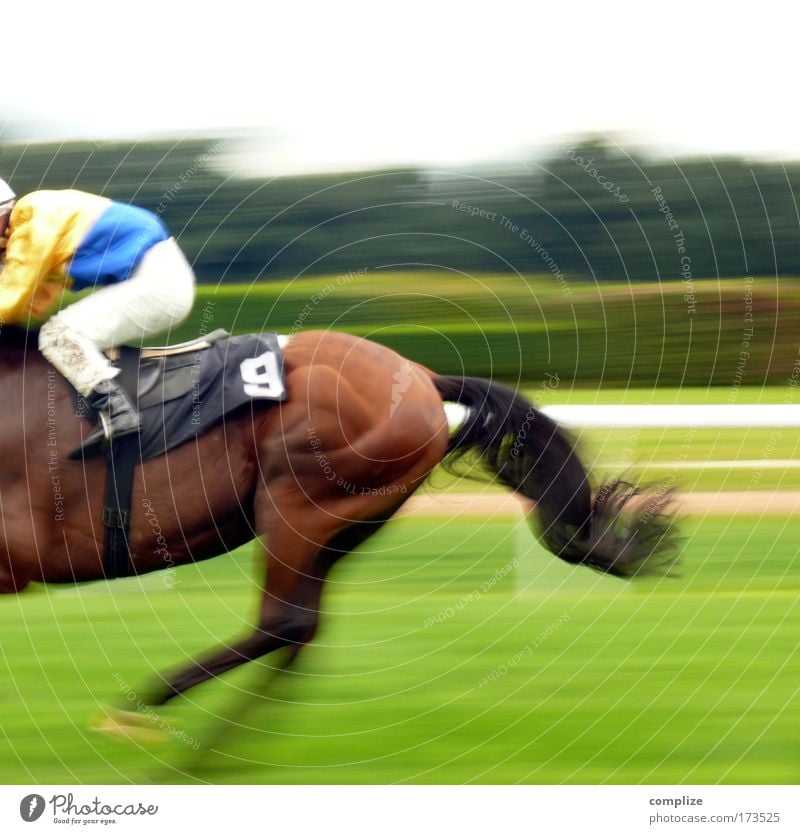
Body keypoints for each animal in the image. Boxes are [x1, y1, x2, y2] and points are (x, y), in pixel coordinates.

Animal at [0, 324, 676, 720]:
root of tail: (420, 374)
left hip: (299, 496)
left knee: (282, 621)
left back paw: (151, 710)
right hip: (344, 520)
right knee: (301, 628)